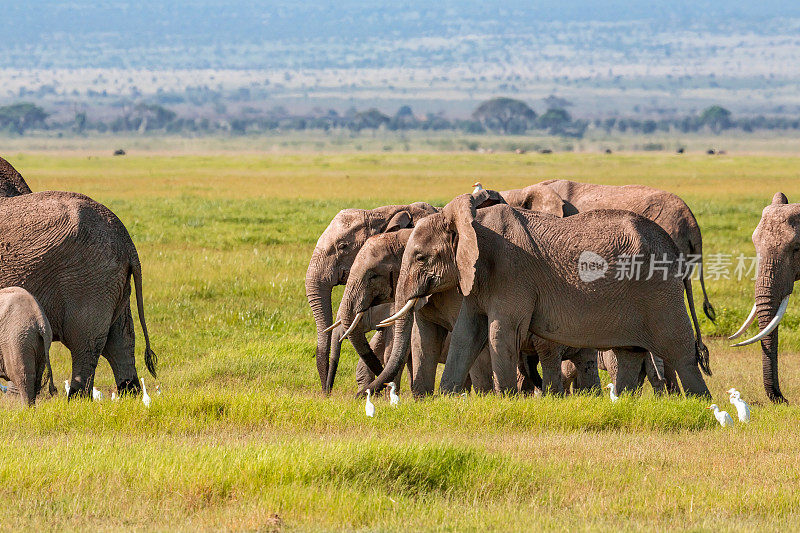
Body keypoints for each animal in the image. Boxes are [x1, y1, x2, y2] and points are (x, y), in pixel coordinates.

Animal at [0, 191, 157, 394]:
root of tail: (127, 241)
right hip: (113, 282)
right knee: (120, 340)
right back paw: (130, 392)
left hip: (89, 279)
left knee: (85, 343)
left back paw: (77, 397)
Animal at [366, 193, 708, 396]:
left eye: (421, 258)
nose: (364, 394)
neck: (470, 223)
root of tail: (676, 252)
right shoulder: (475, 278)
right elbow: (467, 333)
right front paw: (449, 399)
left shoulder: (510, 272)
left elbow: (500, 332)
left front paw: (505, 399)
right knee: (628, 354)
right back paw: (623, 402)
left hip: (659, 292)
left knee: (680, 352)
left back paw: (700, 404)